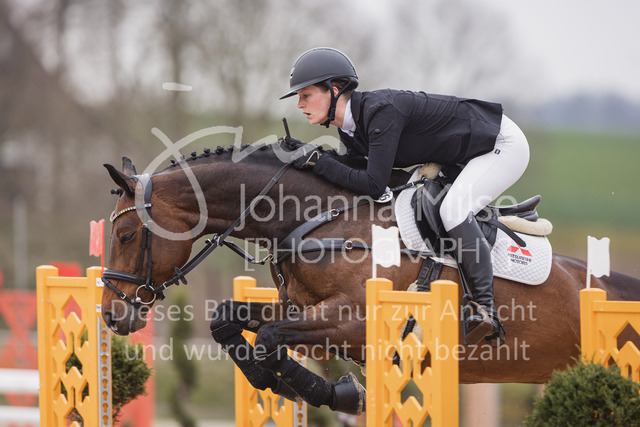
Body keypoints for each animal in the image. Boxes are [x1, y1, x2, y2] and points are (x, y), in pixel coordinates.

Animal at [101, 144, 640, 415]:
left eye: (126, 234)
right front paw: (293, 387)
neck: (317, 218)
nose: (112, 315)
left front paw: (336, 394)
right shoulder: (301, 309)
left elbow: (270, 338)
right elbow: (227, 322)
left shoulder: (355, 322)